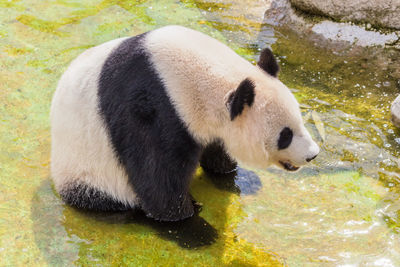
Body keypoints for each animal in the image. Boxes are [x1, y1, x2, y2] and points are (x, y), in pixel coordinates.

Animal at [50, 25, 320, 222]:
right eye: (285, 134)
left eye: (300, 120)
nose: (312, 155)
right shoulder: (152, 109)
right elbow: (157, 176)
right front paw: (188, 222)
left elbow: (217, 150)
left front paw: (236, 178)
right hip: (87, 170)